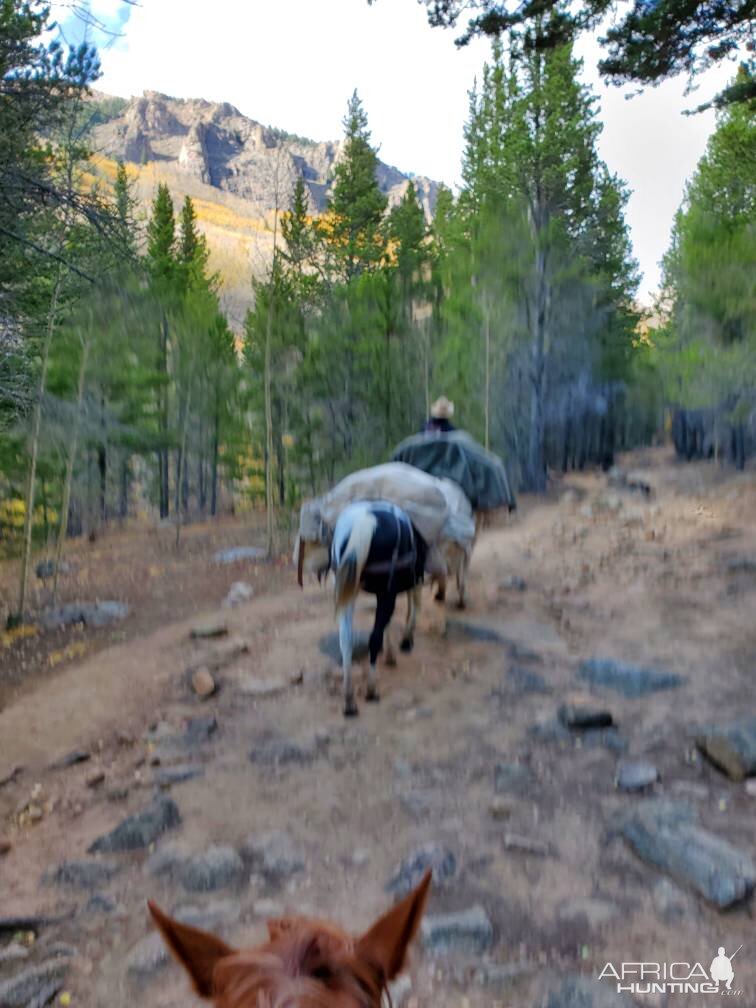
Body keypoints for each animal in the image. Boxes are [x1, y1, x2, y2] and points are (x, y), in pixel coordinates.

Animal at [298, 499, 427, 713]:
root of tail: (365, 522)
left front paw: (391, 652)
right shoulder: (393, 591)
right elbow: (397, 617)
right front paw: (402, 644)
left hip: (348, 589)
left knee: (346, 639)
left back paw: (349, 699)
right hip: (382, 593)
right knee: (373, 639)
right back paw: (371, 690)